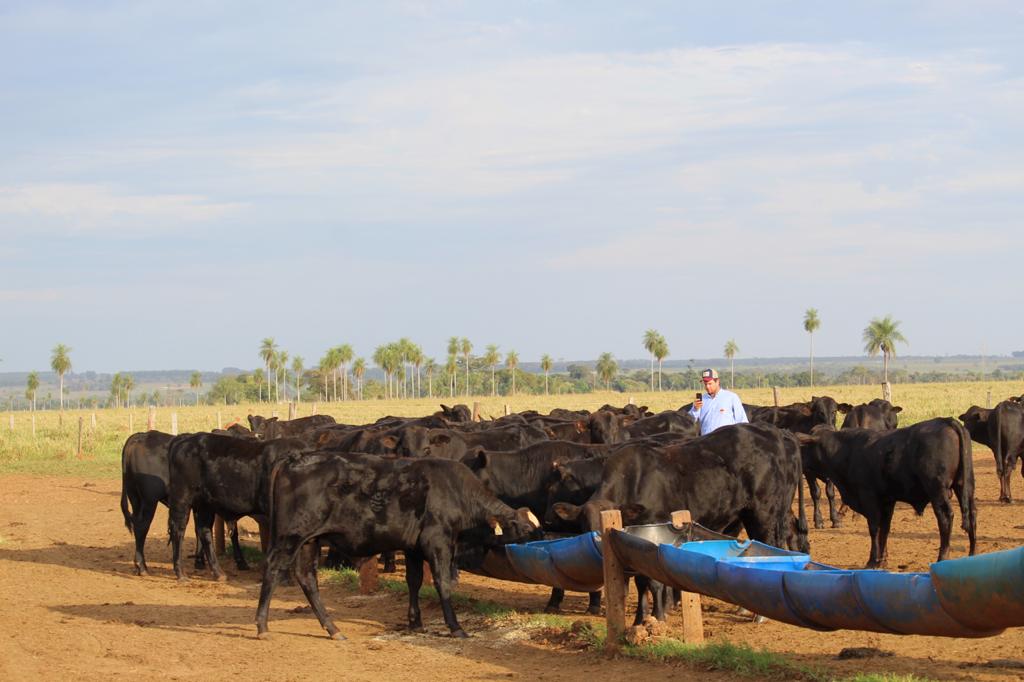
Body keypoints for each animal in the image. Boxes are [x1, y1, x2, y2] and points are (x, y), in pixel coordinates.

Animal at [166, 432, 307, 577]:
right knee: (178, 529)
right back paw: (180, 572)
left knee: (204, 531)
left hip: (205, 504)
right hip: (182, 498)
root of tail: (185, 439)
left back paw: (218, 572)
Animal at [256, 450, 540, 638]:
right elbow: (442, 583)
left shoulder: (413, 548)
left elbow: (413, 581)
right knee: (273, 569)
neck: (455, 492)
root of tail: (294, 458)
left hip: (309, 541)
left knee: (307, 578)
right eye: (525, 529)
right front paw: (455, 626)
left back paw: (332, 628)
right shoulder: (438, 544)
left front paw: (415, 621)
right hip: (290, 537)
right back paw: (262, 625)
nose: (540, 541)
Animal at [798, 417, 974, 565]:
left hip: (938, 490)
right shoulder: (887, 501)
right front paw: (882, 559)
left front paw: (873, 560)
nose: (800, 464)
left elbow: (874, 528)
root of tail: (946, 421)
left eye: (804, 447)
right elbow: (885, 529)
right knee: (972, 516)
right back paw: (972, 554)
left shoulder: (869, 497)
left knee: (945, 518)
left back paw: (942, 557)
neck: (847, 451)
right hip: (965, 487)